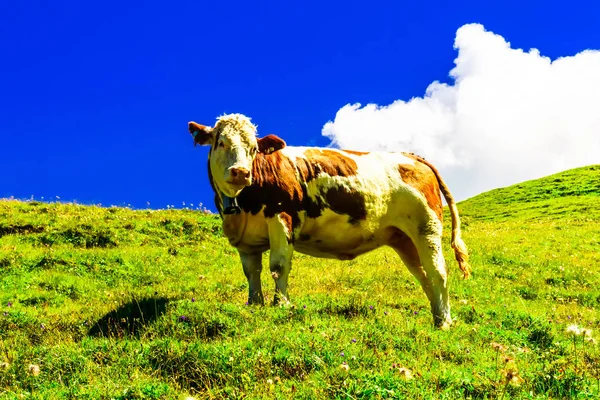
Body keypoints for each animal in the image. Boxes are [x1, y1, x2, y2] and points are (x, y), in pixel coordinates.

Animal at [190, 112, 472, 328]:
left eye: (254, 148)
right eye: (220, 142)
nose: (241, 172)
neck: (243, 205)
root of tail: (412, 156)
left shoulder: (282, 217)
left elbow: (278, 266)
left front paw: (281, 304)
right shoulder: (246, 240)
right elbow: (252, 272)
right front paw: (254, 305)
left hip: (427, 227)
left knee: (438, 271)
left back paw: (445, 322)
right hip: (404, 239)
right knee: (423, 275)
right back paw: (437, 318)